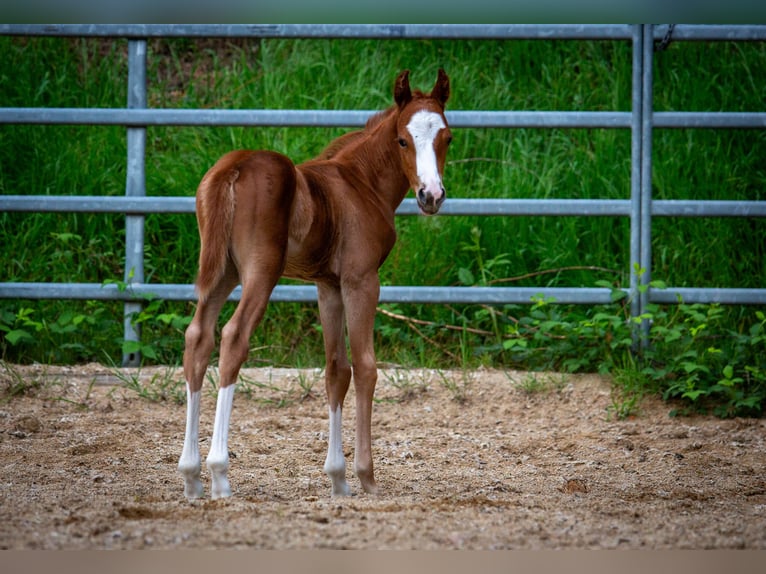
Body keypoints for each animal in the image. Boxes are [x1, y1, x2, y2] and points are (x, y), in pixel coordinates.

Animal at [178, 68, 452, 499]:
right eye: (402, 140)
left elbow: (336, 370)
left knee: (198, 337)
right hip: (261, 272)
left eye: (447, 138)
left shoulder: (328, 286)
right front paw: (365, 476)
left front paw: (338, 478)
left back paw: (190, 475)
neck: (361, 184)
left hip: (222, 271)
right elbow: (365, 366)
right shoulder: (361, 281)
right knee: (234, 337)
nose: (431, 196)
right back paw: (219, 472)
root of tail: (234, 166)